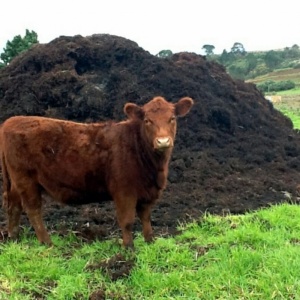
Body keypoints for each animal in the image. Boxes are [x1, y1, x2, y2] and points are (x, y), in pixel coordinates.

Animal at [0, 96, 193, 248]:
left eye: (172, 118)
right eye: (147, 120)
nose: (163, 141)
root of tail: (10, 121)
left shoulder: (147, 192)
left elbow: (145, 217)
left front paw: (150, 241)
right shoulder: (124, 191)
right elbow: (127, 220)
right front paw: (128, 248)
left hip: (16, 182)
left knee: (14, 205)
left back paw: (14, 238)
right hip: (26, 180)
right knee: (33, 209)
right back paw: (47, 243)